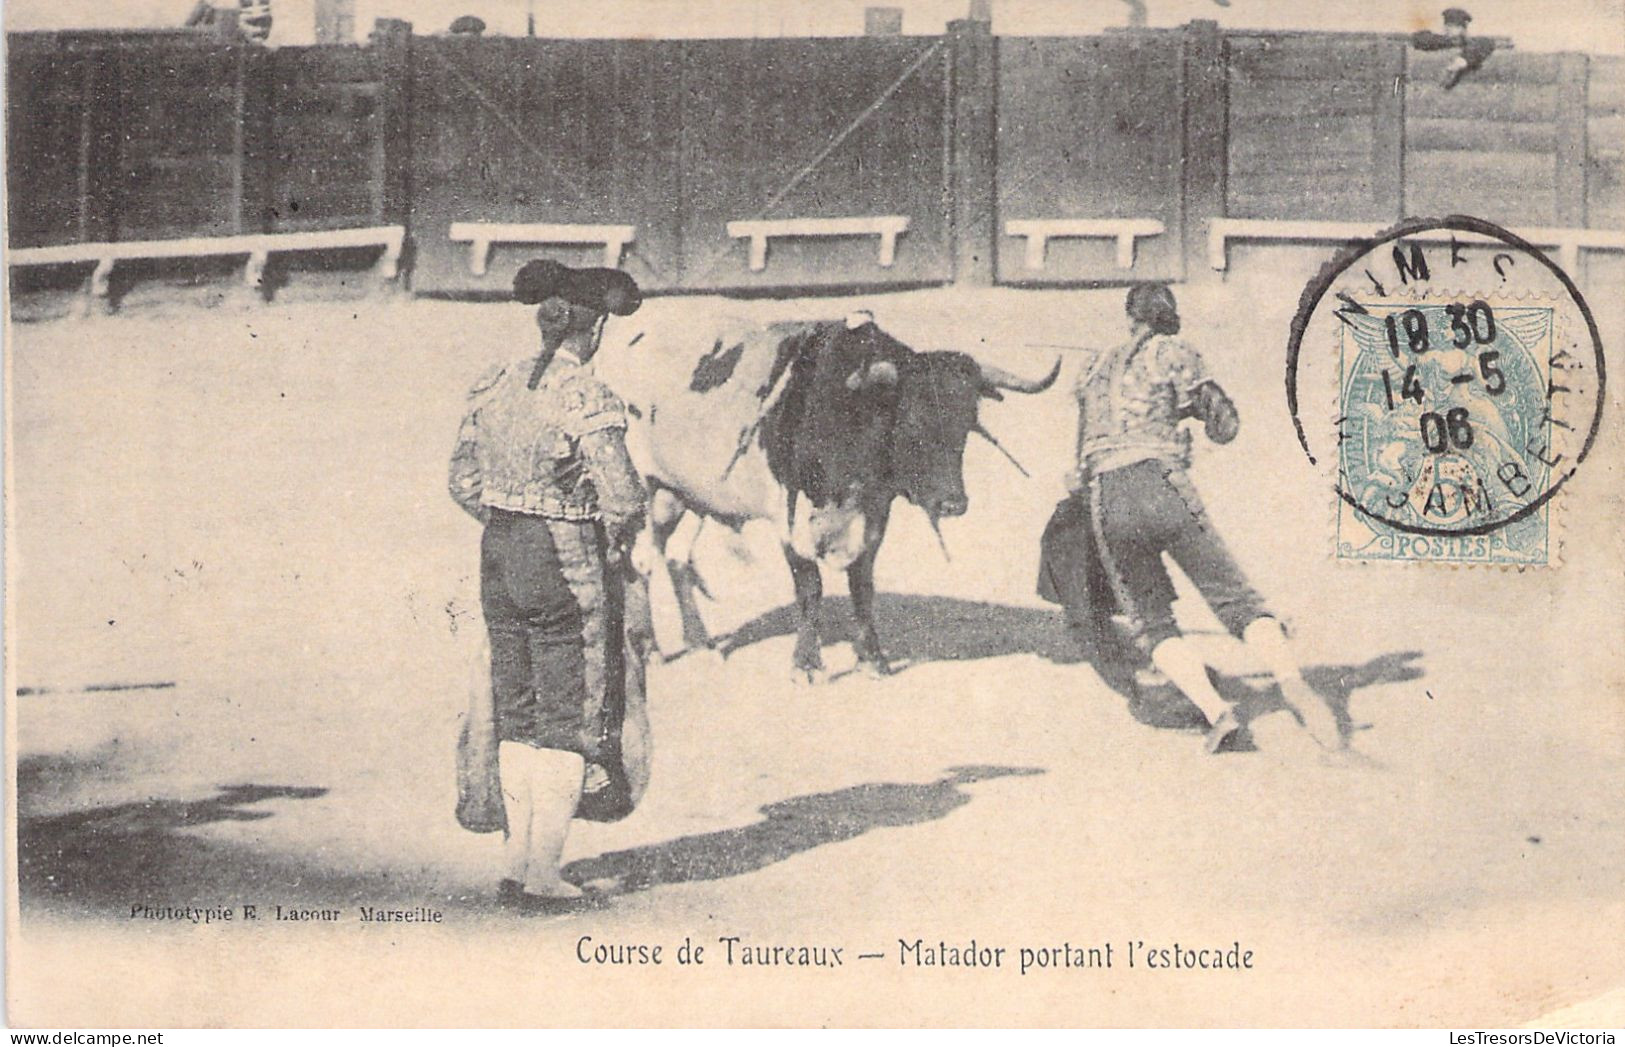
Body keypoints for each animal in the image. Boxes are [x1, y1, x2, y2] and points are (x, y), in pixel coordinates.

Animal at [614, 310, 1059, 682]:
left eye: (966, 424)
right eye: (909, 422)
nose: (953, 503)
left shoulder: (875, 514)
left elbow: (862, 584)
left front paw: (872, 659)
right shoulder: (790, 517)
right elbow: (810, 587)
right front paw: (807, 665)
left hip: (686, 495)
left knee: (675, 559)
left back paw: (699, 643)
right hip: (643, 488)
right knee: (642, 562)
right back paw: (652, 649)